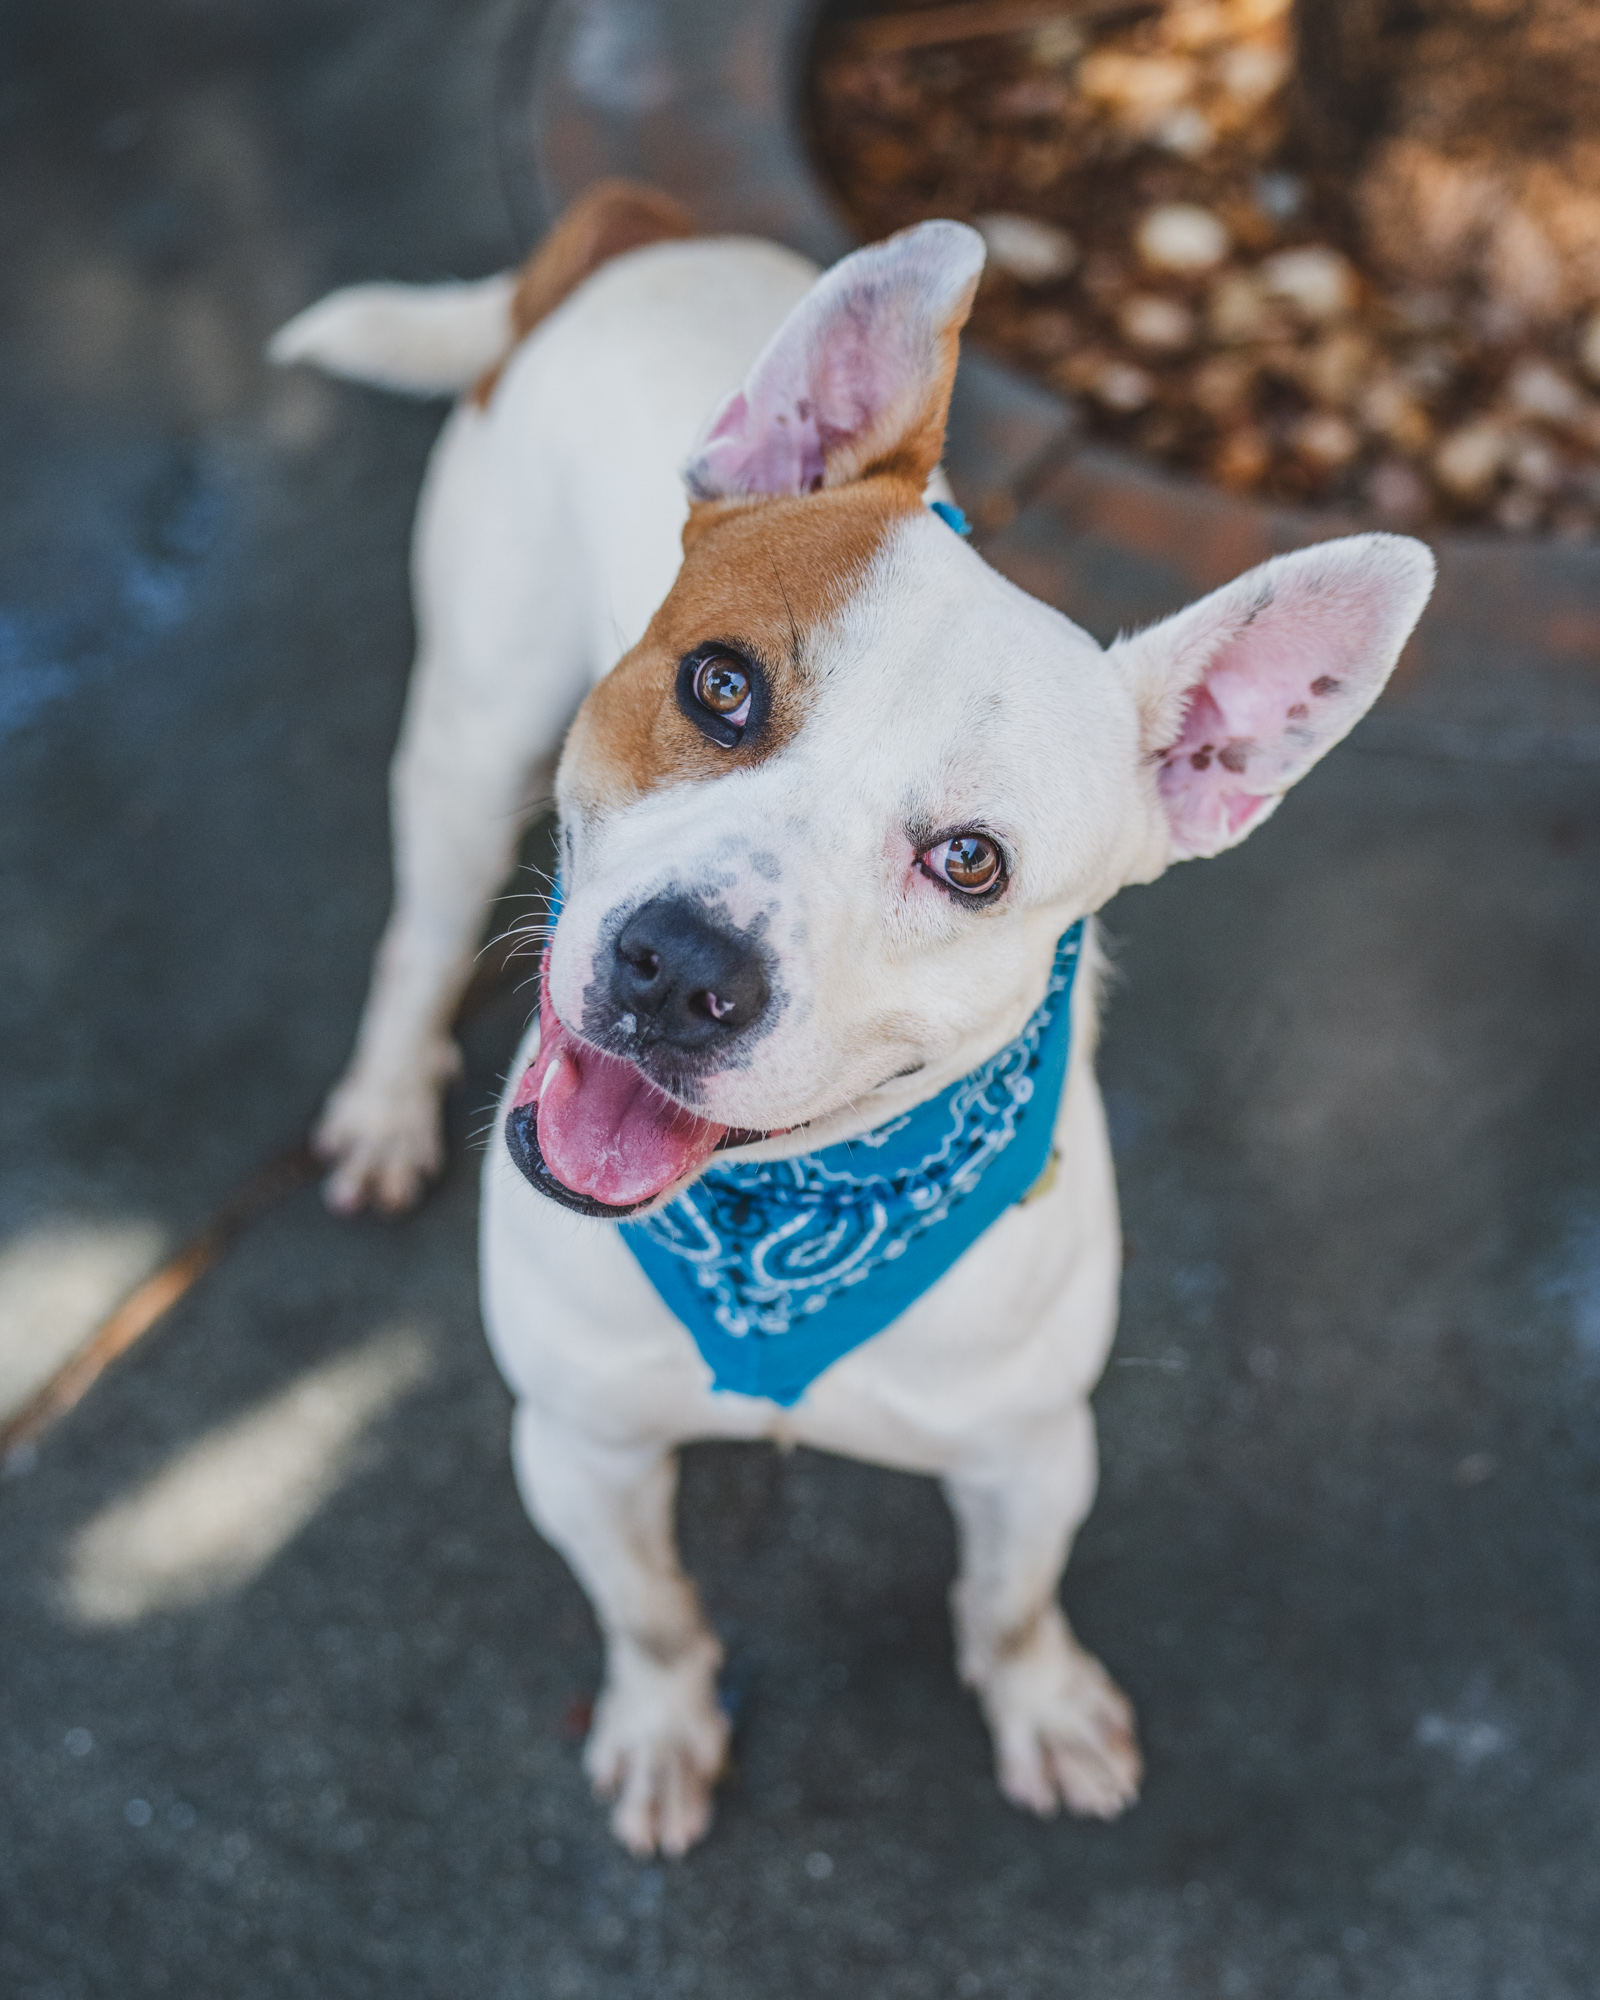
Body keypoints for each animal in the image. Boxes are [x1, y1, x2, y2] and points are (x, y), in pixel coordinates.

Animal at [276, 188, 1440, 1856]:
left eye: (972, 863)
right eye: (720, 686)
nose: (677, 965)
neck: (784, 1215)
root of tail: (637, 228)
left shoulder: (1033, 1457)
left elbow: (1008, 1602)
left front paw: (1041, 1705)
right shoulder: (579, 1446)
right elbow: (651, 1609)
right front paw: (663, 1724)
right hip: (466, 737)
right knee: (414, 936)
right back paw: (380, 1105)